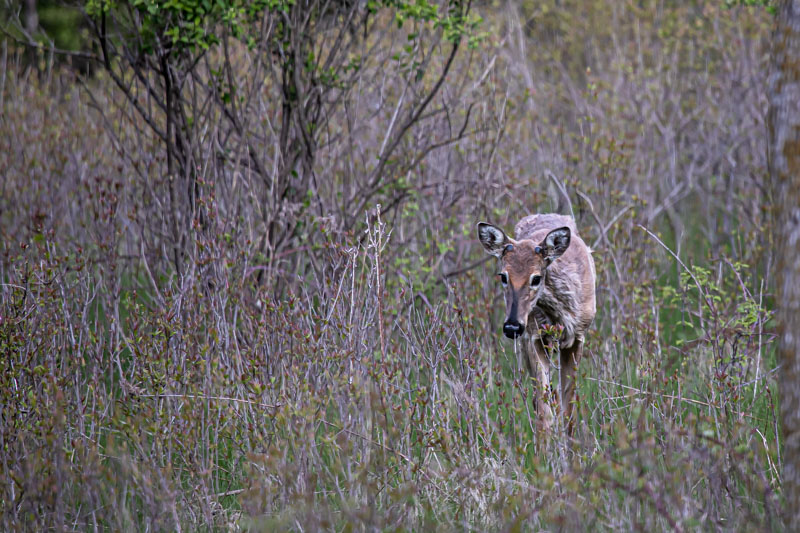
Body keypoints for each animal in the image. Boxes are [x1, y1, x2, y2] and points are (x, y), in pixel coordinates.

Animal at [477, 213, 596, 436]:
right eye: (503, 276)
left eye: (536, 278)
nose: (512, 327)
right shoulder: (535, 336)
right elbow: (544, 414)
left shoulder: (578, 337)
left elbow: (569, 413)